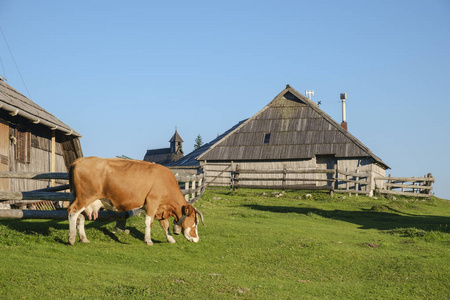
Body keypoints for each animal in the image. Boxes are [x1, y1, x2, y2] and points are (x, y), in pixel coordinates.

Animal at [67, 156, 204, 245]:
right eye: (195, 222)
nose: (197, 239)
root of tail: (81, 160)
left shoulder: (161, 207)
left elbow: (165, 224)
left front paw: (170, 239)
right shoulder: (152, 202)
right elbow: (149, 222)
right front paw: (148, 240)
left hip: (83, 199)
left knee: (81, 217)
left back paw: (83, 239)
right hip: (84, 197)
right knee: (72, 212)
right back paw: (72, 238)